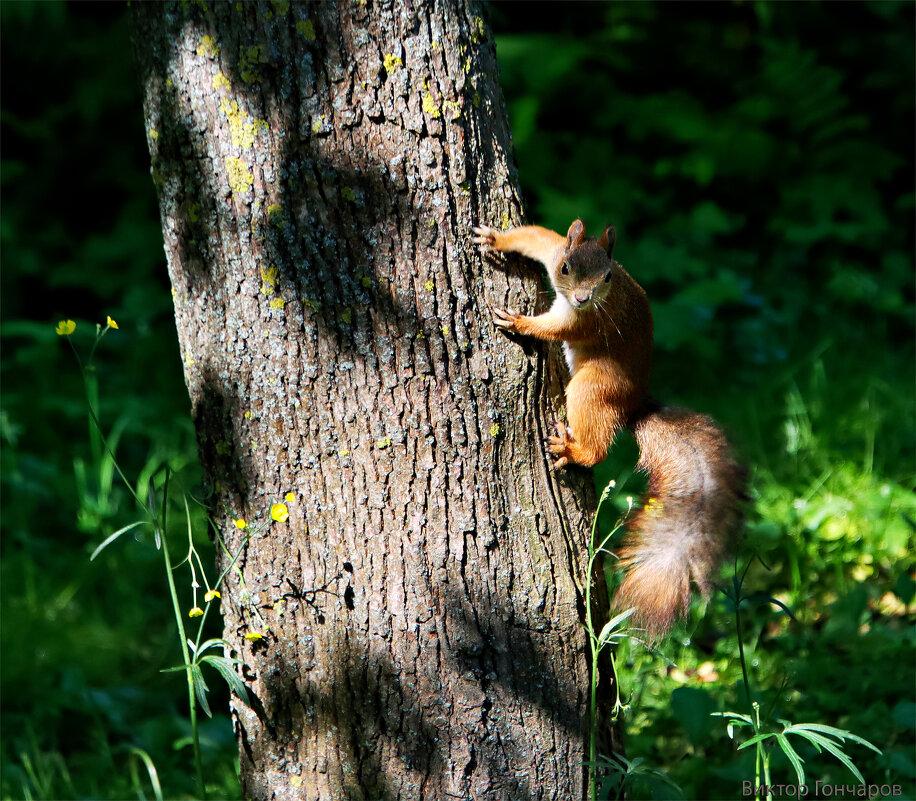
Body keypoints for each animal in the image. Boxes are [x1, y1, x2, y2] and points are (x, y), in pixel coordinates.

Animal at [472, 219, 747, 637]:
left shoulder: (584, 321)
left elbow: (555, 330)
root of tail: (634, 404)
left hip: (592, 388)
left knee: (598, 443)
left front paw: (519, 322)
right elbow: (536, 238)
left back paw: (573, 451)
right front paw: (495, 239)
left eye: (607, 276)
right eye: (566, 267)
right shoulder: (555, 251)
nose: (583, 298)